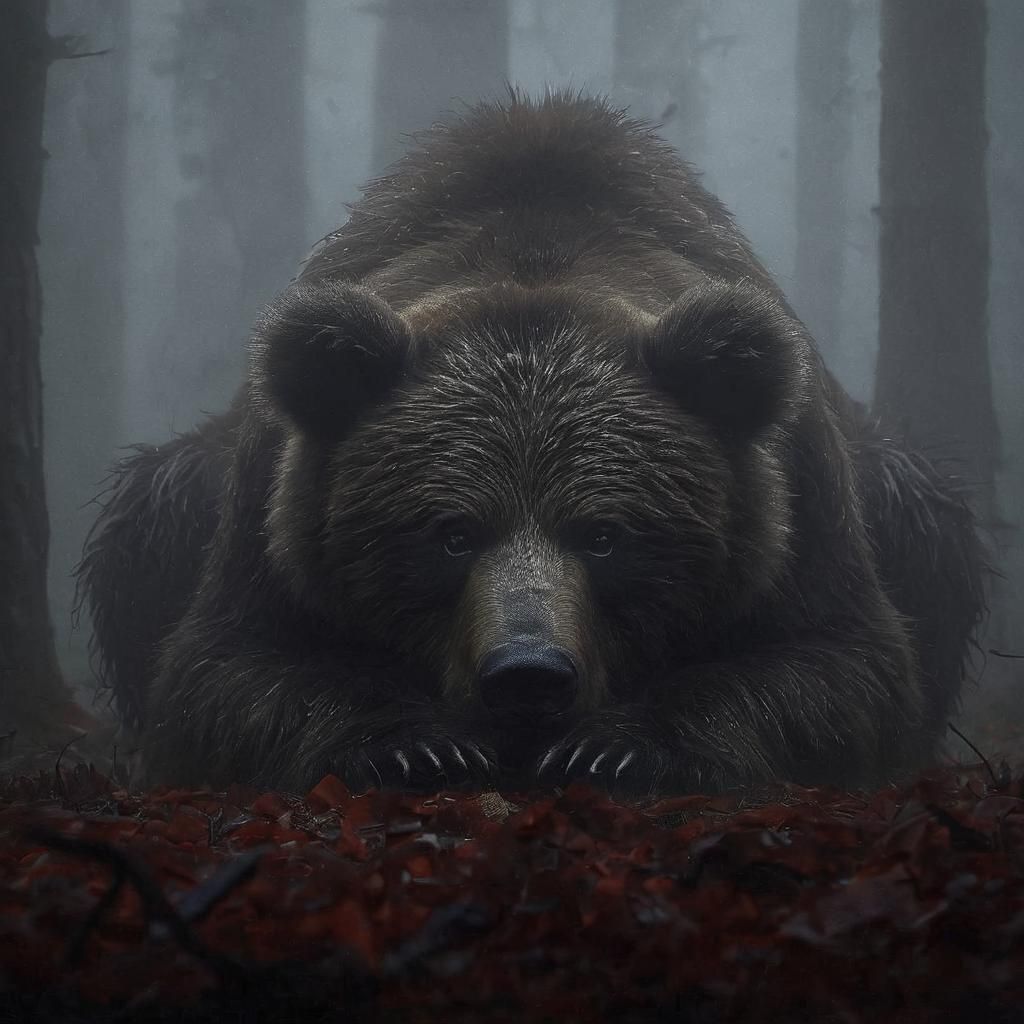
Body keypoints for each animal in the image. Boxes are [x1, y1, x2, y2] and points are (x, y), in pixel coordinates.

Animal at [79, 92, 985, 798]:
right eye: (449, 532)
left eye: (606, 533)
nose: (527, 674)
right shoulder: (268, 507)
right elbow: (223, 672)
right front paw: (417, 744)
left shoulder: (799, 498)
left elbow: (842, 665)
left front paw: (615, 746)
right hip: (178, 495)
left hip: (902, 501)